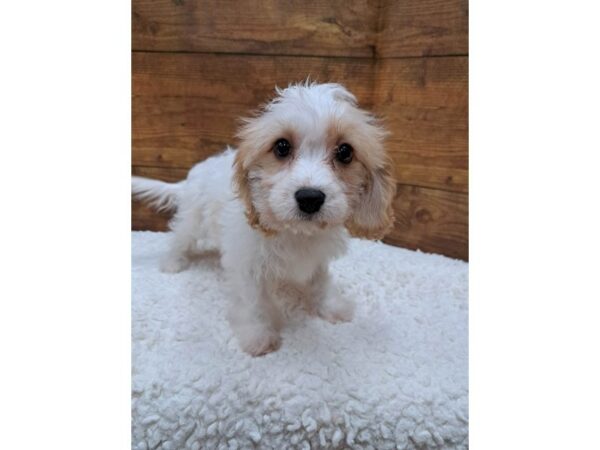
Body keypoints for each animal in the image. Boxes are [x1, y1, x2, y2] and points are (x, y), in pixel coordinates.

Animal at [135, 81, 398, 356]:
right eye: (282, 147)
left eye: (345, 152)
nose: (310, 197)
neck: (295, 232)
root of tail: (196, 171)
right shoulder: (247, 265)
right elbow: (253, 303)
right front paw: (258, 336)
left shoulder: (317, 260)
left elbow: (320, 282)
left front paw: (331, 307)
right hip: (192, 220)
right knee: (179, 238)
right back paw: (172, 263)